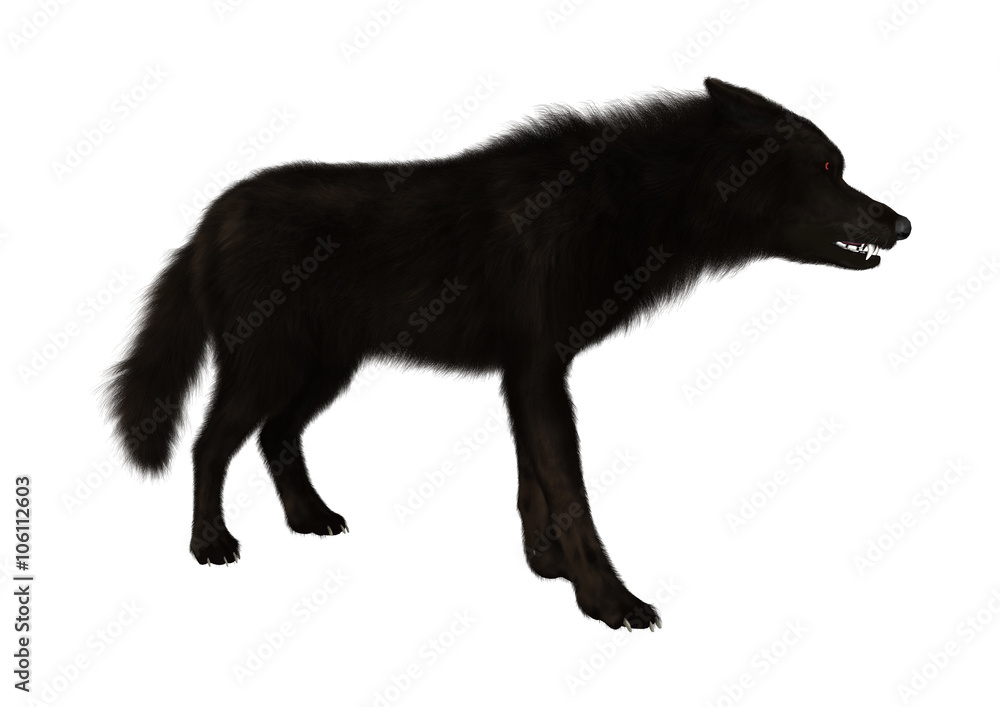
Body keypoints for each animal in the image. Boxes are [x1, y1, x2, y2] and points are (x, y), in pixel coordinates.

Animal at [105, 78, 910, 630]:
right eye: (829, 169)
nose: (901, 223)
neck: (616, 205)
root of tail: (208, 220)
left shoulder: (529, 374)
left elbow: (534, 485)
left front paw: (546, 567)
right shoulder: (539, 371)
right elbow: (570, 493)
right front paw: (608, 601)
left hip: (322, 372)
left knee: (275, 437)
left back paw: (310, 519)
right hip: (270, 370)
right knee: (209, 444)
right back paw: (210, 544)